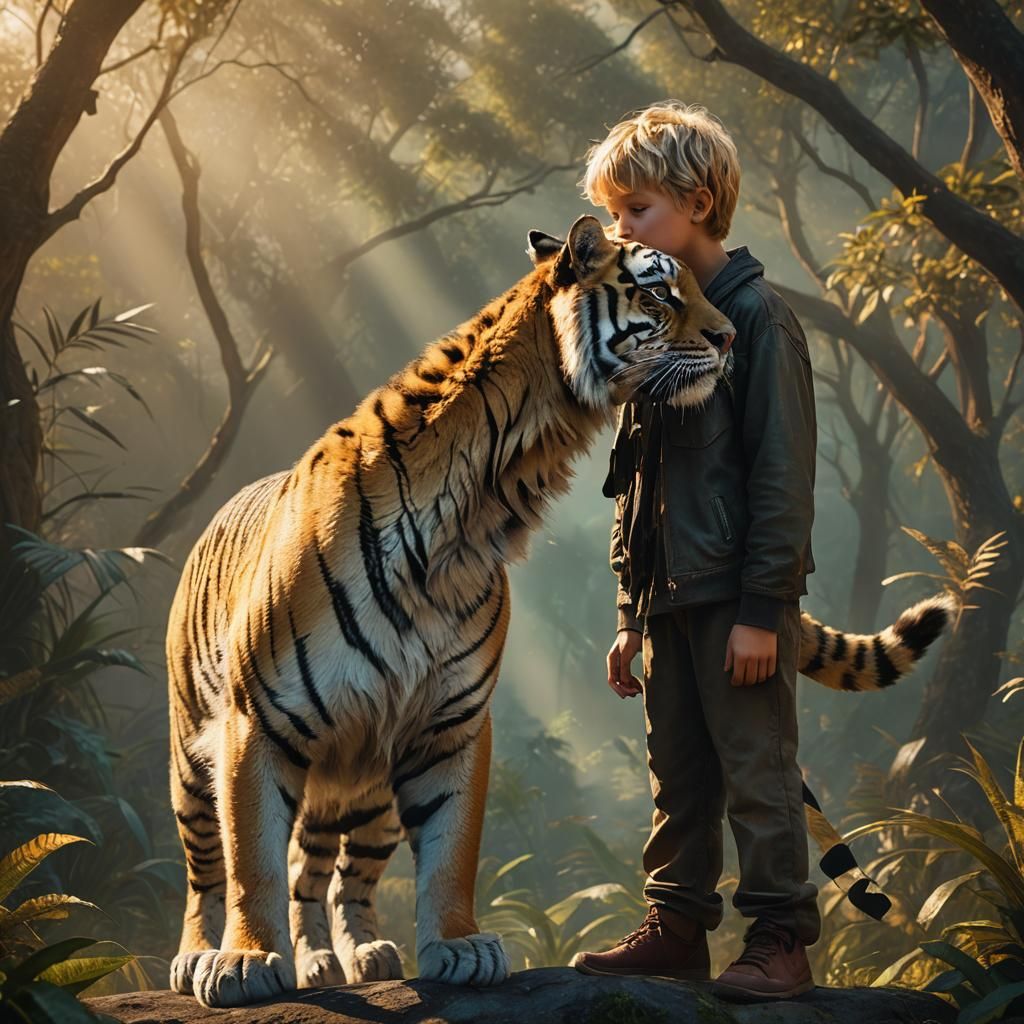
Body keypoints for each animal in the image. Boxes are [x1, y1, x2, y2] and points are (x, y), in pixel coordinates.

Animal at [165, 215, 954, 1008]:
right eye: (660, 292)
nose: (730, 337)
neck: (475, 503)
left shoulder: (447, 719)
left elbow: (451, 846)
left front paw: (458, 945)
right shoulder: (259, 722)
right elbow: (252, 859)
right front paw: (246, 962)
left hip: (365, 781)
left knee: (334, 871)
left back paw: (353, 954)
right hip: (195, 761)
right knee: (208, 869)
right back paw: (202, 957)